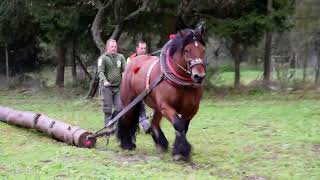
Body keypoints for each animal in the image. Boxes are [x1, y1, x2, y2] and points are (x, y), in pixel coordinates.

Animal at [116, 27, 206, 160]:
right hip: (129, 101)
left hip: (156, 107)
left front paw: (179, 149)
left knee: (154, 123)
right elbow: (178, 124)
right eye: (186, 50)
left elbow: (184, 127)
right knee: (126, 118)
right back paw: (127, 143)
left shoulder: (191, 109)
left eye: (203, 49)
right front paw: (181, 151)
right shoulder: (166, 106)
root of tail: (133, 61)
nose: (199, 76)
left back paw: (161, 143)